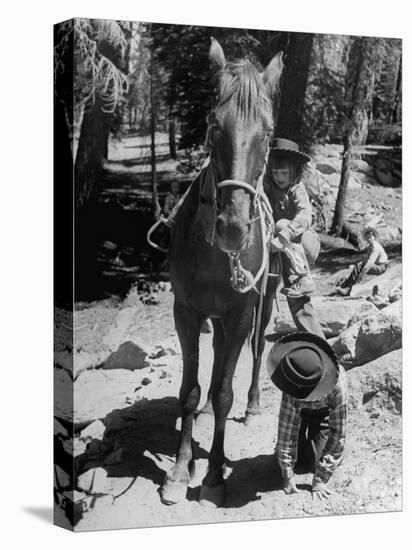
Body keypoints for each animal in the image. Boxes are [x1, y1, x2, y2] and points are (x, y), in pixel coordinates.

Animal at [161, 36, 284, 508]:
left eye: (268, 131)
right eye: (215, 126)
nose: (232, 226)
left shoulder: (240, 314)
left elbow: (223, 392)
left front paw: (214, 473)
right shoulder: (187, 312)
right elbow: (192, 391)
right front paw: (180, 470)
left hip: (263, 306)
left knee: (251, 356)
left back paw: (251, 404)